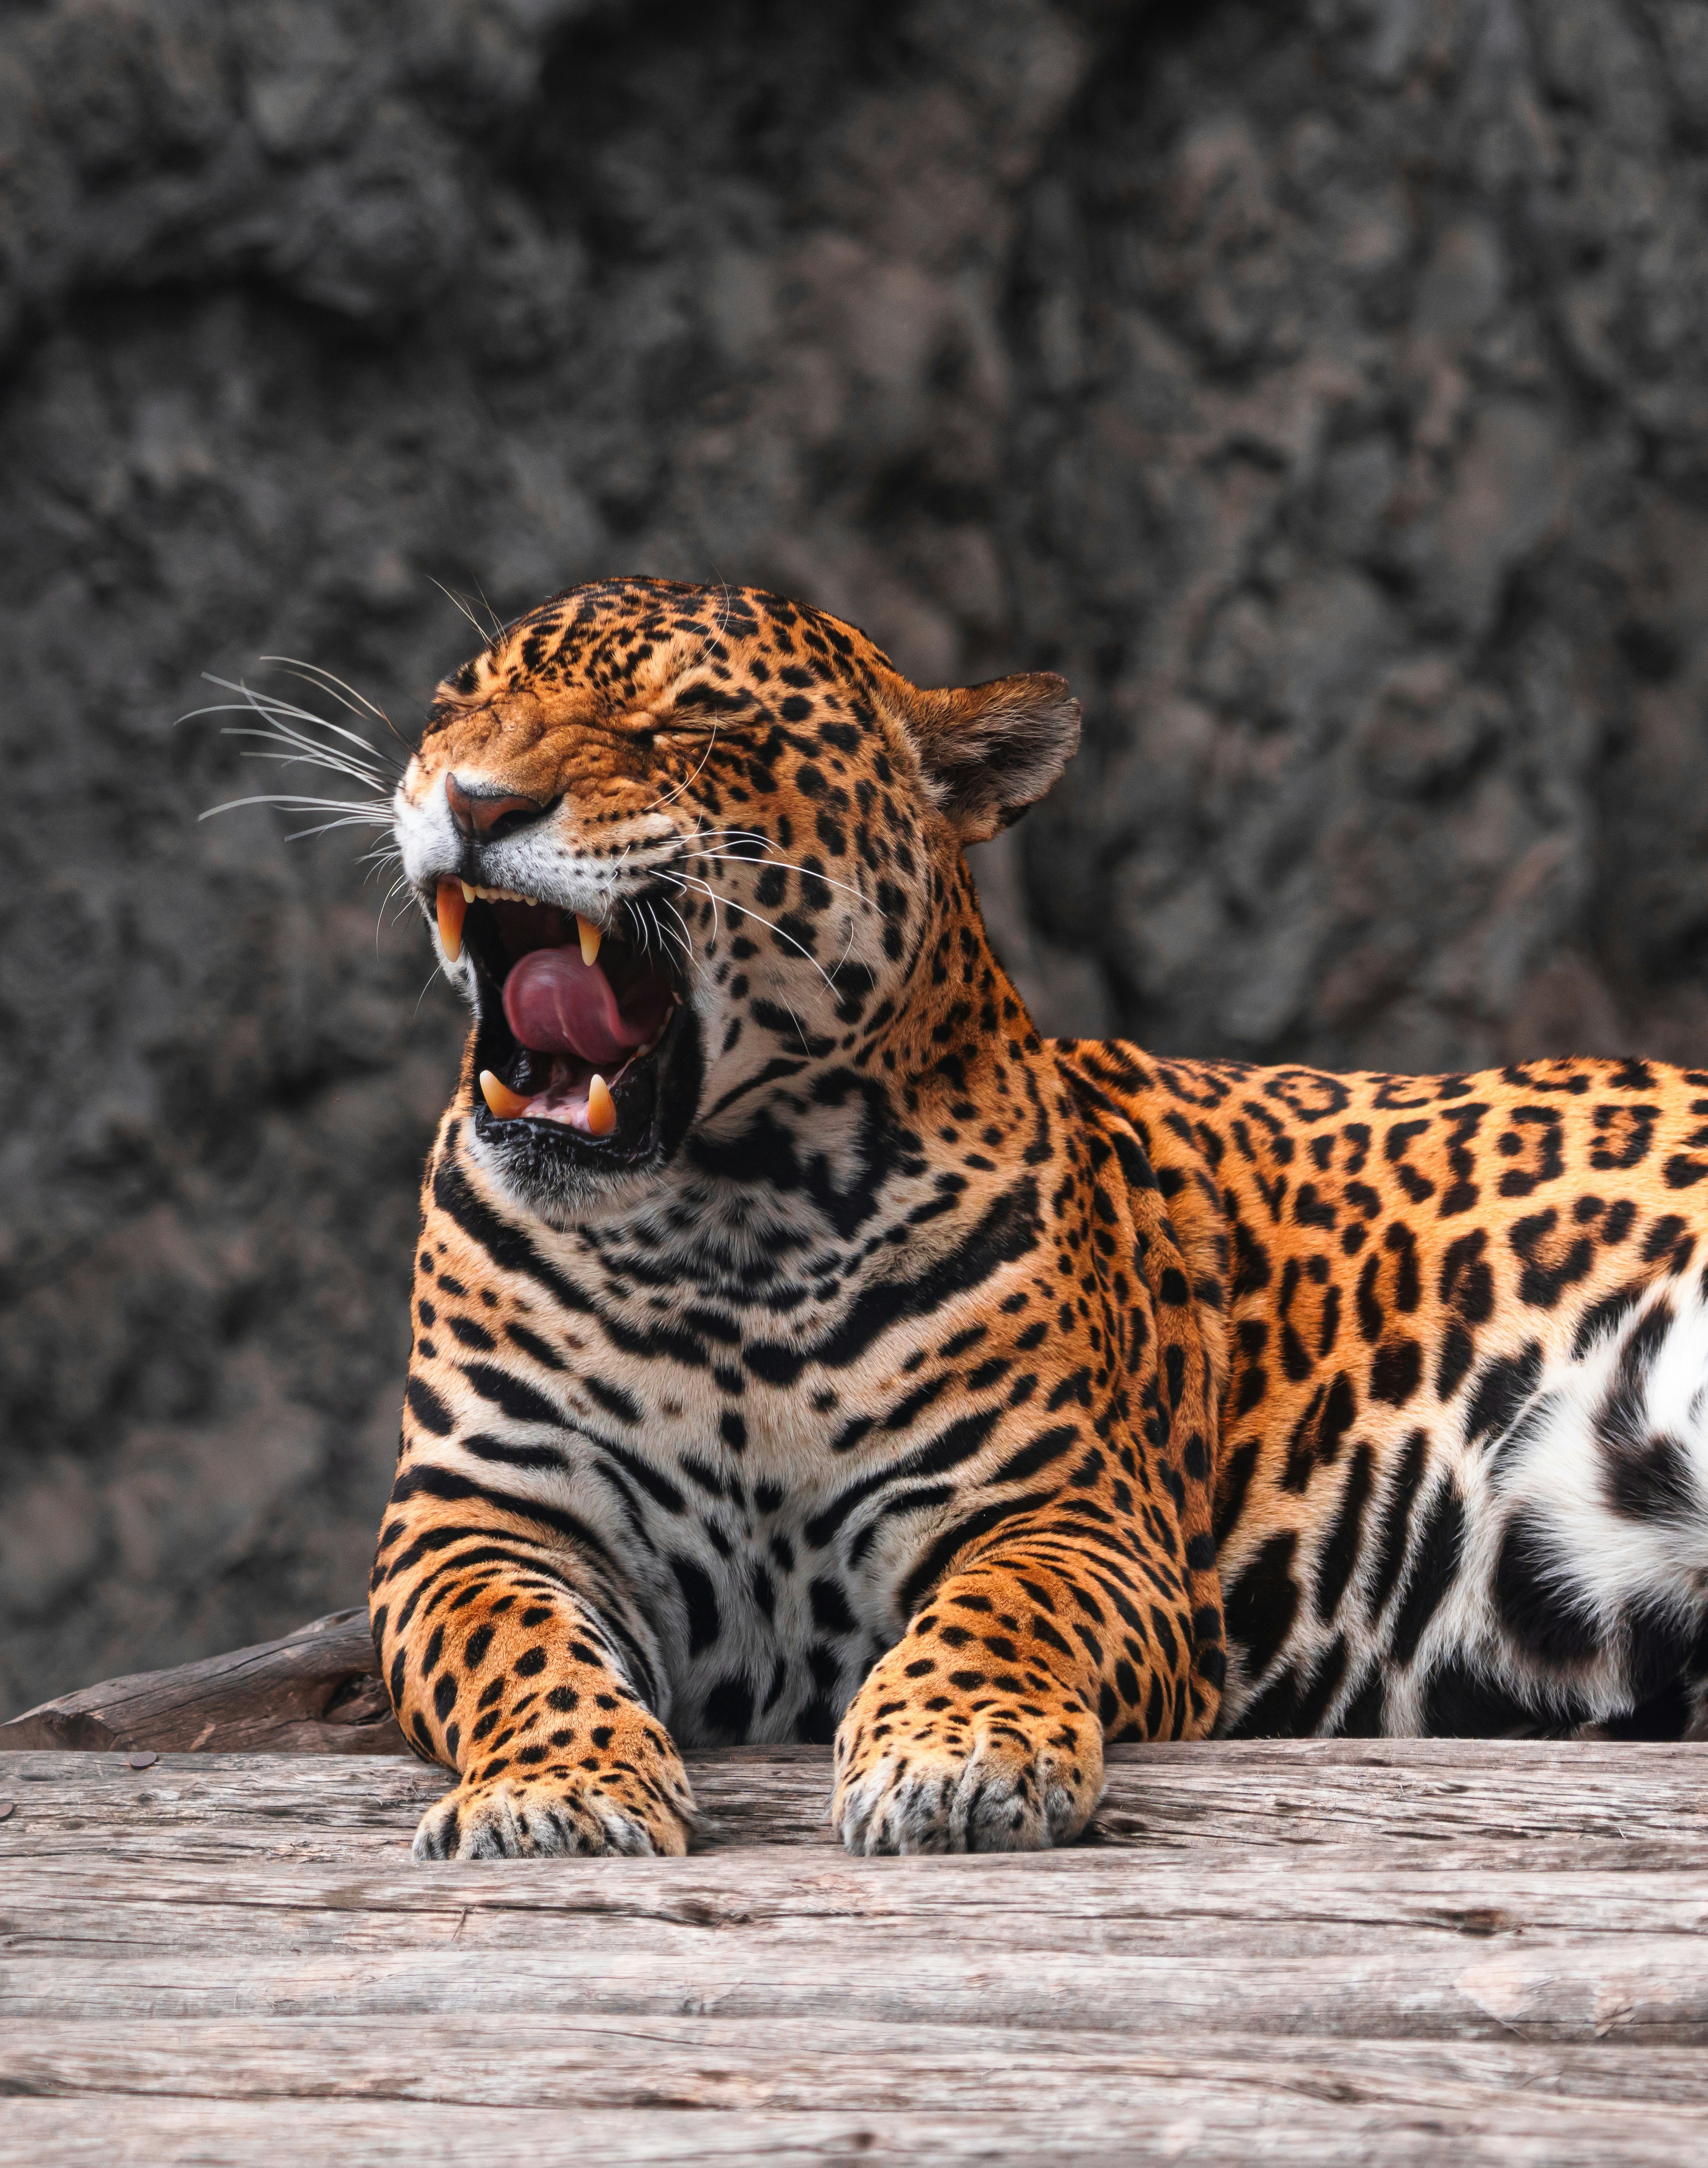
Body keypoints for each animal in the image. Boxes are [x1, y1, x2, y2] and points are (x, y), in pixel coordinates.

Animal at [364, 574, 1708, 1861]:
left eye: (695, 723)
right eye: (454, 706)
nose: (478, 803)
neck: (724, 1223)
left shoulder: (1067, 1511)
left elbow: (997, 1615)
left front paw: (956, 1758)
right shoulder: (477, 1516)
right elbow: (512, 1647)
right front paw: (553, 1786)